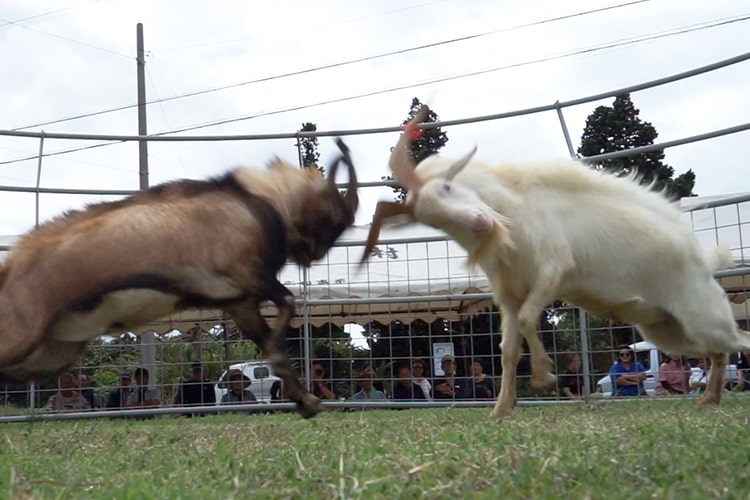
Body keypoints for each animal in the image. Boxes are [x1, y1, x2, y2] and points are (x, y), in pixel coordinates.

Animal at [0, 139, 360, 420]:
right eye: (334, 216)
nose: (316, 255)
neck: (258, 200)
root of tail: (11, 266)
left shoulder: (239, 301)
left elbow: (269, 340)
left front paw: (306, 402)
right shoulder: (249, 277)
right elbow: (286, 304)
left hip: (54, 353)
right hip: (23, 336)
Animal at [364, 106, 750, 418]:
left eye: (446, 187)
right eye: (431, 221)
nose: (480, 223)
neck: (514, 214)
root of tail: (703, 261)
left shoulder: (553, 271)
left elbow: (528, 320)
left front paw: (544, 375)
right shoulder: (508, 294)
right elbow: (507, 348)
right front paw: (501, 409)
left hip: (704, 317)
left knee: (738, 342)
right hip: (667, 330)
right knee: (718, 352)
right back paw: (708, 399)